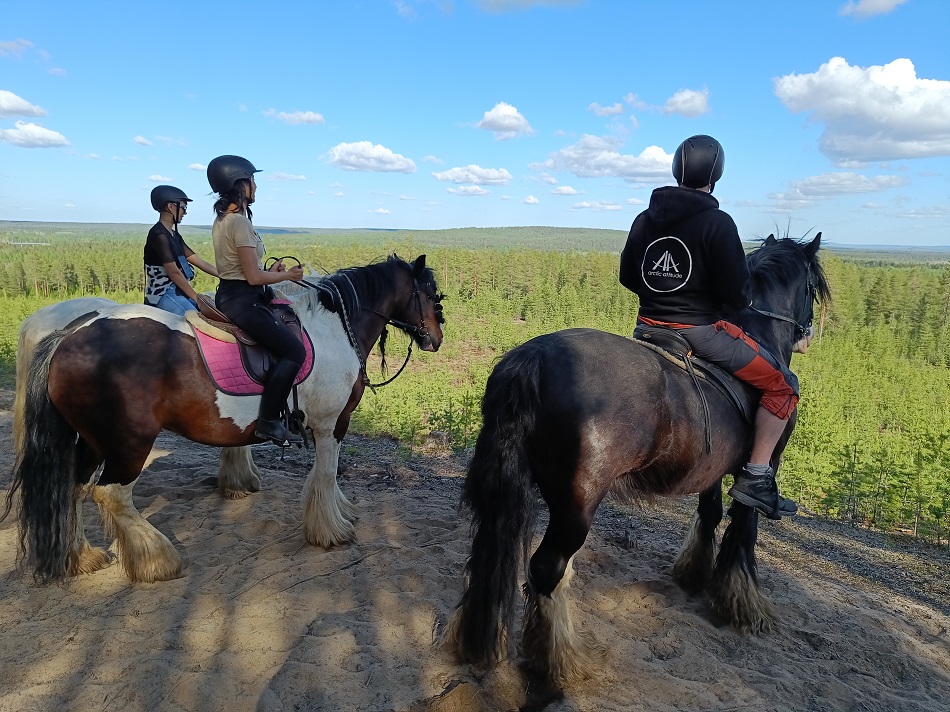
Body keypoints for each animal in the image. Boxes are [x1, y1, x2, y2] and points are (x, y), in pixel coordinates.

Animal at [5, 256, 444, 584]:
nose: (436, 338)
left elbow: (322, 474)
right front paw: (331, 530)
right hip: (129, 442)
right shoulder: (330, 423)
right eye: (431, 294)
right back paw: (157, 560)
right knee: (111, 494)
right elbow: (325, 474)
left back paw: (82, 557)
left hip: (92, 440)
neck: (332, 330)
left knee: (73, 488)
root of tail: (66, 336)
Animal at [446, 235, 824, 684]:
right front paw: (745, 605)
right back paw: (559, 662)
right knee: (546, 569)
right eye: (812, 287)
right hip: (576, 505)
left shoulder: (712, 470)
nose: (808, 334)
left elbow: (710, 514)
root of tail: (533, 357)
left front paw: (694, 574)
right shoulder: (761, 466)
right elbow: (744, 530)